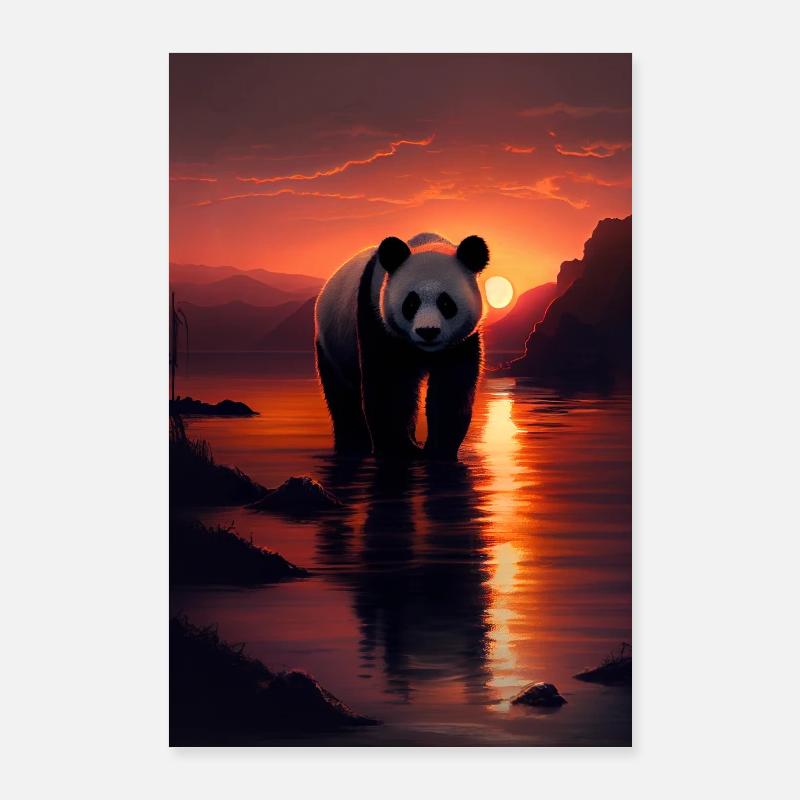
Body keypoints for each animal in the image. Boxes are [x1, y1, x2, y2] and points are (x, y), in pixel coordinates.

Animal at [314, 232, 489, 460]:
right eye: (411, 303)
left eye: (446, 303)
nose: (428, 331)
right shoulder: (376, 318)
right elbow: (389, 385)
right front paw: (400, 449)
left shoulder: (461, 342)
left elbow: (451, 386)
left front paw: (438, 450)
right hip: (333, 344)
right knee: (342, 395)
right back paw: (353, 446)